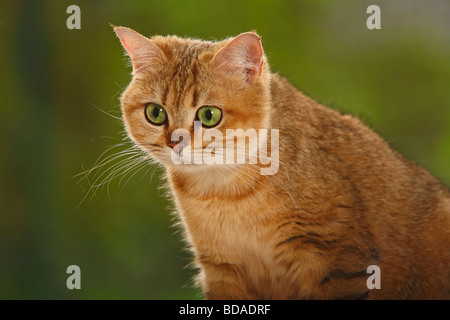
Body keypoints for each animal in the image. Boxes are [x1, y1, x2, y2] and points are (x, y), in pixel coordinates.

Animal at [112, 25, 450, 300]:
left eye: (209, 115)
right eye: (155, 113)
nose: (175, 143)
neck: (224, 192)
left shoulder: (339, 259)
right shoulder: (221, 269)